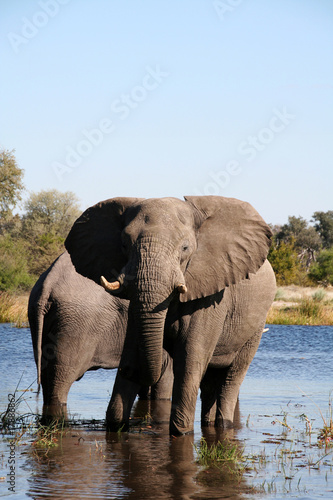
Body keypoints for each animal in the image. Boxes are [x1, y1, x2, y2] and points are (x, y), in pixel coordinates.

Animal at [64, 194, 274, 434]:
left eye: (185, 247)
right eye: (124, 244)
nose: (127, 370)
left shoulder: (211, 298)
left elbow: (189, 359)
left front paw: (181, 431)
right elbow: (133, 347)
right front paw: (117, 424)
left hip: (255, 328)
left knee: (231, 378)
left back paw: (224, 424)